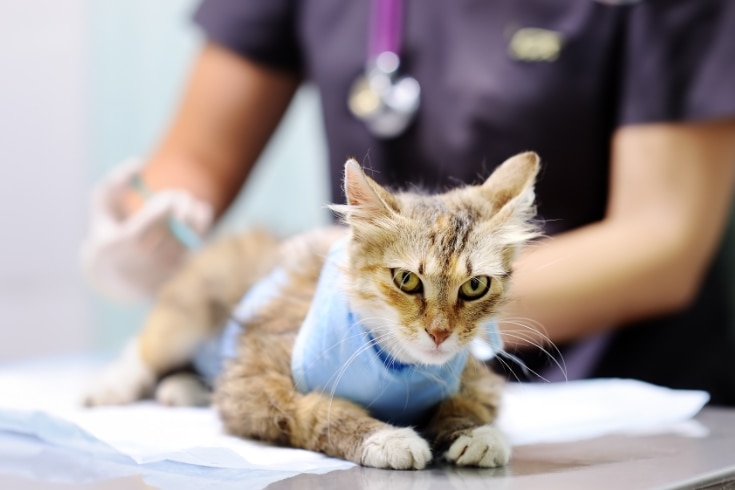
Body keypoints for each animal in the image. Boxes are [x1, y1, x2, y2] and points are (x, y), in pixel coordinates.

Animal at [85, 151, 540, 468]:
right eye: (407, 280)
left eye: (475, 286)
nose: (440, 333)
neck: (399, 370)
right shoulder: (251, 386)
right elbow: (321, 411)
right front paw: (385, 438)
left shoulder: (479, 383)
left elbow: (466, 407)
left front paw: (477, 434)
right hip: (189, 314)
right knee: (145, 349)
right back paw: (110, 386)